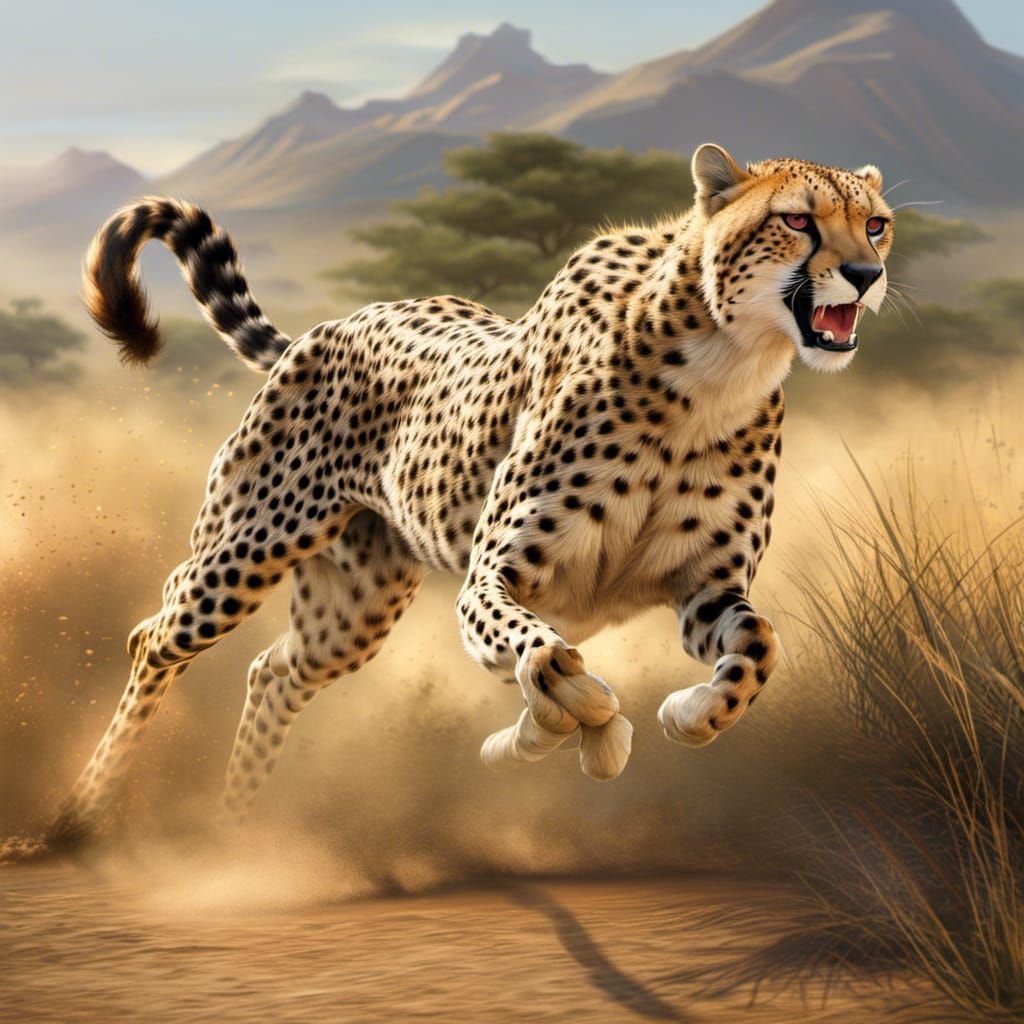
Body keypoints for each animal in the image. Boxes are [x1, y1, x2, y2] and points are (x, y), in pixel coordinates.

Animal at [1, 143, 893, 860]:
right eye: (798, 220)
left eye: (876, 225)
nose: (867, 275)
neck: (718, 364)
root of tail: (329, 327)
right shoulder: (493, 575)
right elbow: (546, 658)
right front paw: (576, 730)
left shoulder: (704, 588)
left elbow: (759, 647)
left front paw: (691, 714)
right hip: (245, 550)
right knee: (153, 635)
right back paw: (79, 821)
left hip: (349, 610)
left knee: (273, 671)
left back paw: (236, 830)